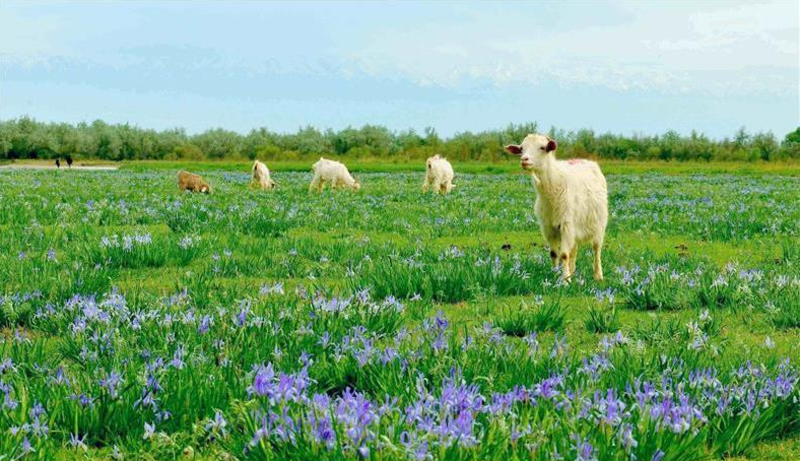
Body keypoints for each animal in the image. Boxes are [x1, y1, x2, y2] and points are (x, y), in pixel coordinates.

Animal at [506, 133, 608, 280]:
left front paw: (565, 280)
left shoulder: (566, 225)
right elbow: (554, 254)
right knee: (574, 251)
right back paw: (572, 272)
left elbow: (564, 255)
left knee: (596, 250)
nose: (524, 160)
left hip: (599, 225)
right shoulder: (549, 227)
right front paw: (555, 276)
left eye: (542, 147)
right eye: (521, 148)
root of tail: (585, 161)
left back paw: (598, 276)